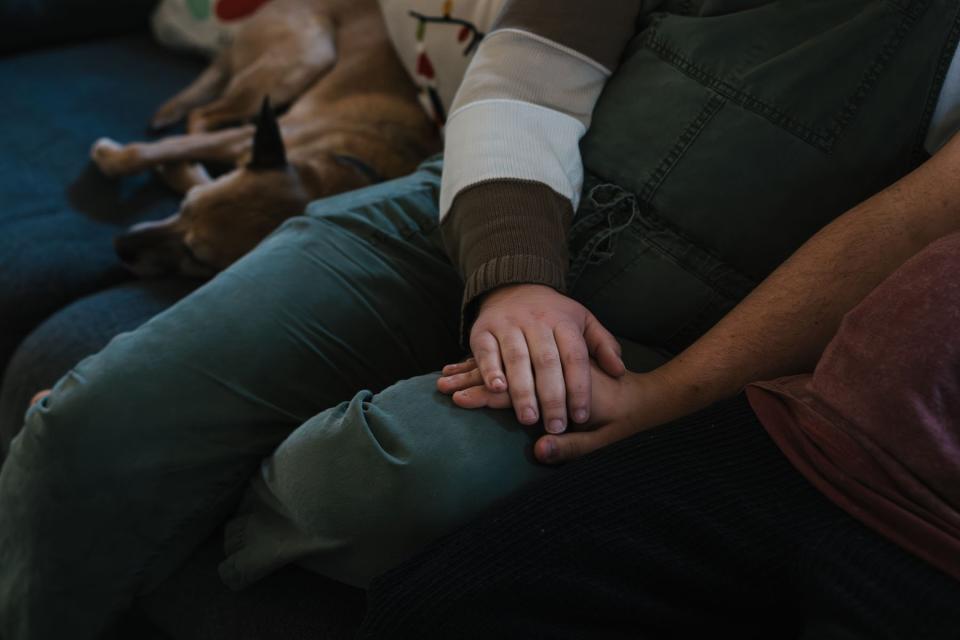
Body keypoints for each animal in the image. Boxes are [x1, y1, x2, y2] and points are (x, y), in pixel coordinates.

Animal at [94, 0, 438, 276]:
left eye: (197, 258)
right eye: (184, 207)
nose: (119, 245)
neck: (343, 165)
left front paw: (178, 170)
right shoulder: (244, 141)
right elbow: (156, 150)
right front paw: (113, 158)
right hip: (305, 57)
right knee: (201, 115)